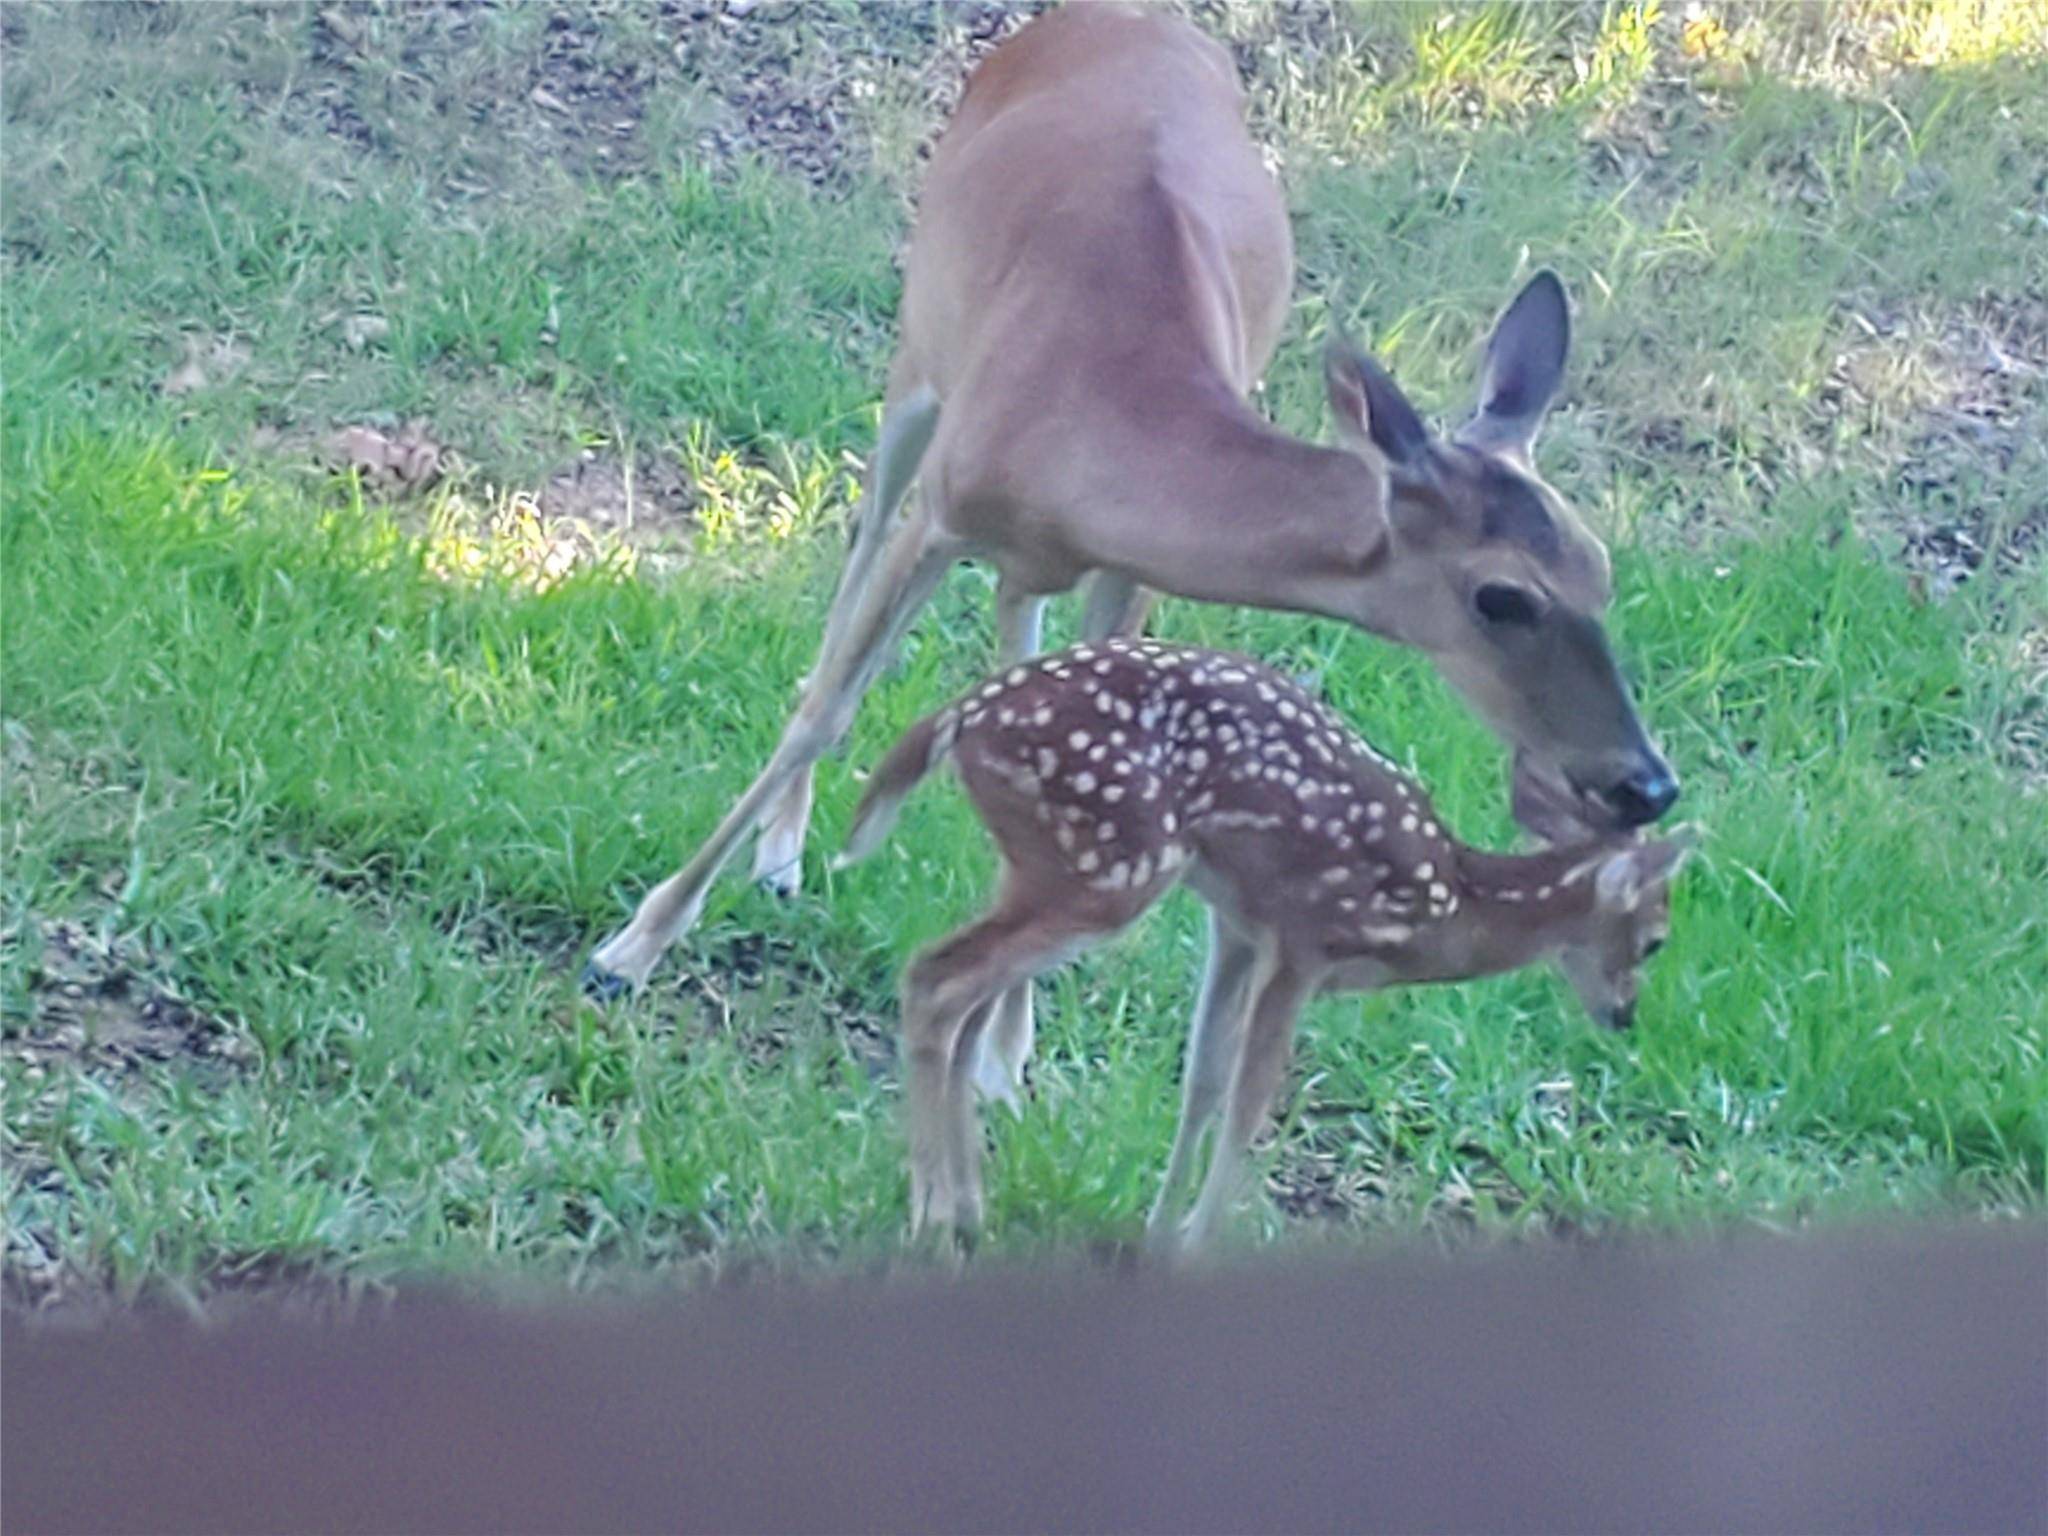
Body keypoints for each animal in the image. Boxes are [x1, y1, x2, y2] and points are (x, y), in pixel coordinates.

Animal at [585, 0, 1671, 1003]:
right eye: (1503, 596)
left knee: (1012, 620)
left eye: (1602, 571)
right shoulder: (942, 507)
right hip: (918, 354)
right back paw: (776, 857)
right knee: (859, 547)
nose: (1645, 782)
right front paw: (633, 947)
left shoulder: (1136, 570)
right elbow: (826, 705)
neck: (1100, 412)